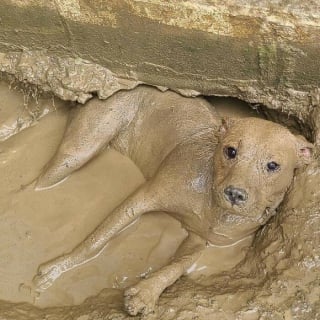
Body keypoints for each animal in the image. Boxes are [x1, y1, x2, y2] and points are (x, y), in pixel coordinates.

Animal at [31, 86, 312, 316]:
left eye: (273, 165)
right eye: (230, 151)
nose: (235, 193)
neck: (213, 209)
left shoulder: (201, 240)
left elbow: (176, 266)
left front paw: (145, 293)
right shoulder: (143, 197)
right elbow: (95, 241)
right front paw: (56, 270)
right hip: (79, 150)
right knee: (34, 185)